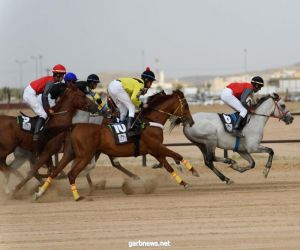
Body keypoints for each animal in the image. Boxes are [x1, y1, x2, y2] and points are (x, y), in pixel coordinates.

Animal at [34, 90, 198, 201]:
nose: (191, 122)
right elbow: (177, 155)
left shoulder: (155, 150)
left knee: (55, 171)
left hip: (70, 153)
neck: (150, 121)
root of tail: (73, 126)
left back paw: (39, 193)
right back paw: (78, 196)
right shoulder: (157, 146)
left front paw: (184, 182)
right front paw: (194, 171)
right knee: (71, 174)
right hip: (84, 155)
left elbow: (169, 166)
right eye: (186, 105)